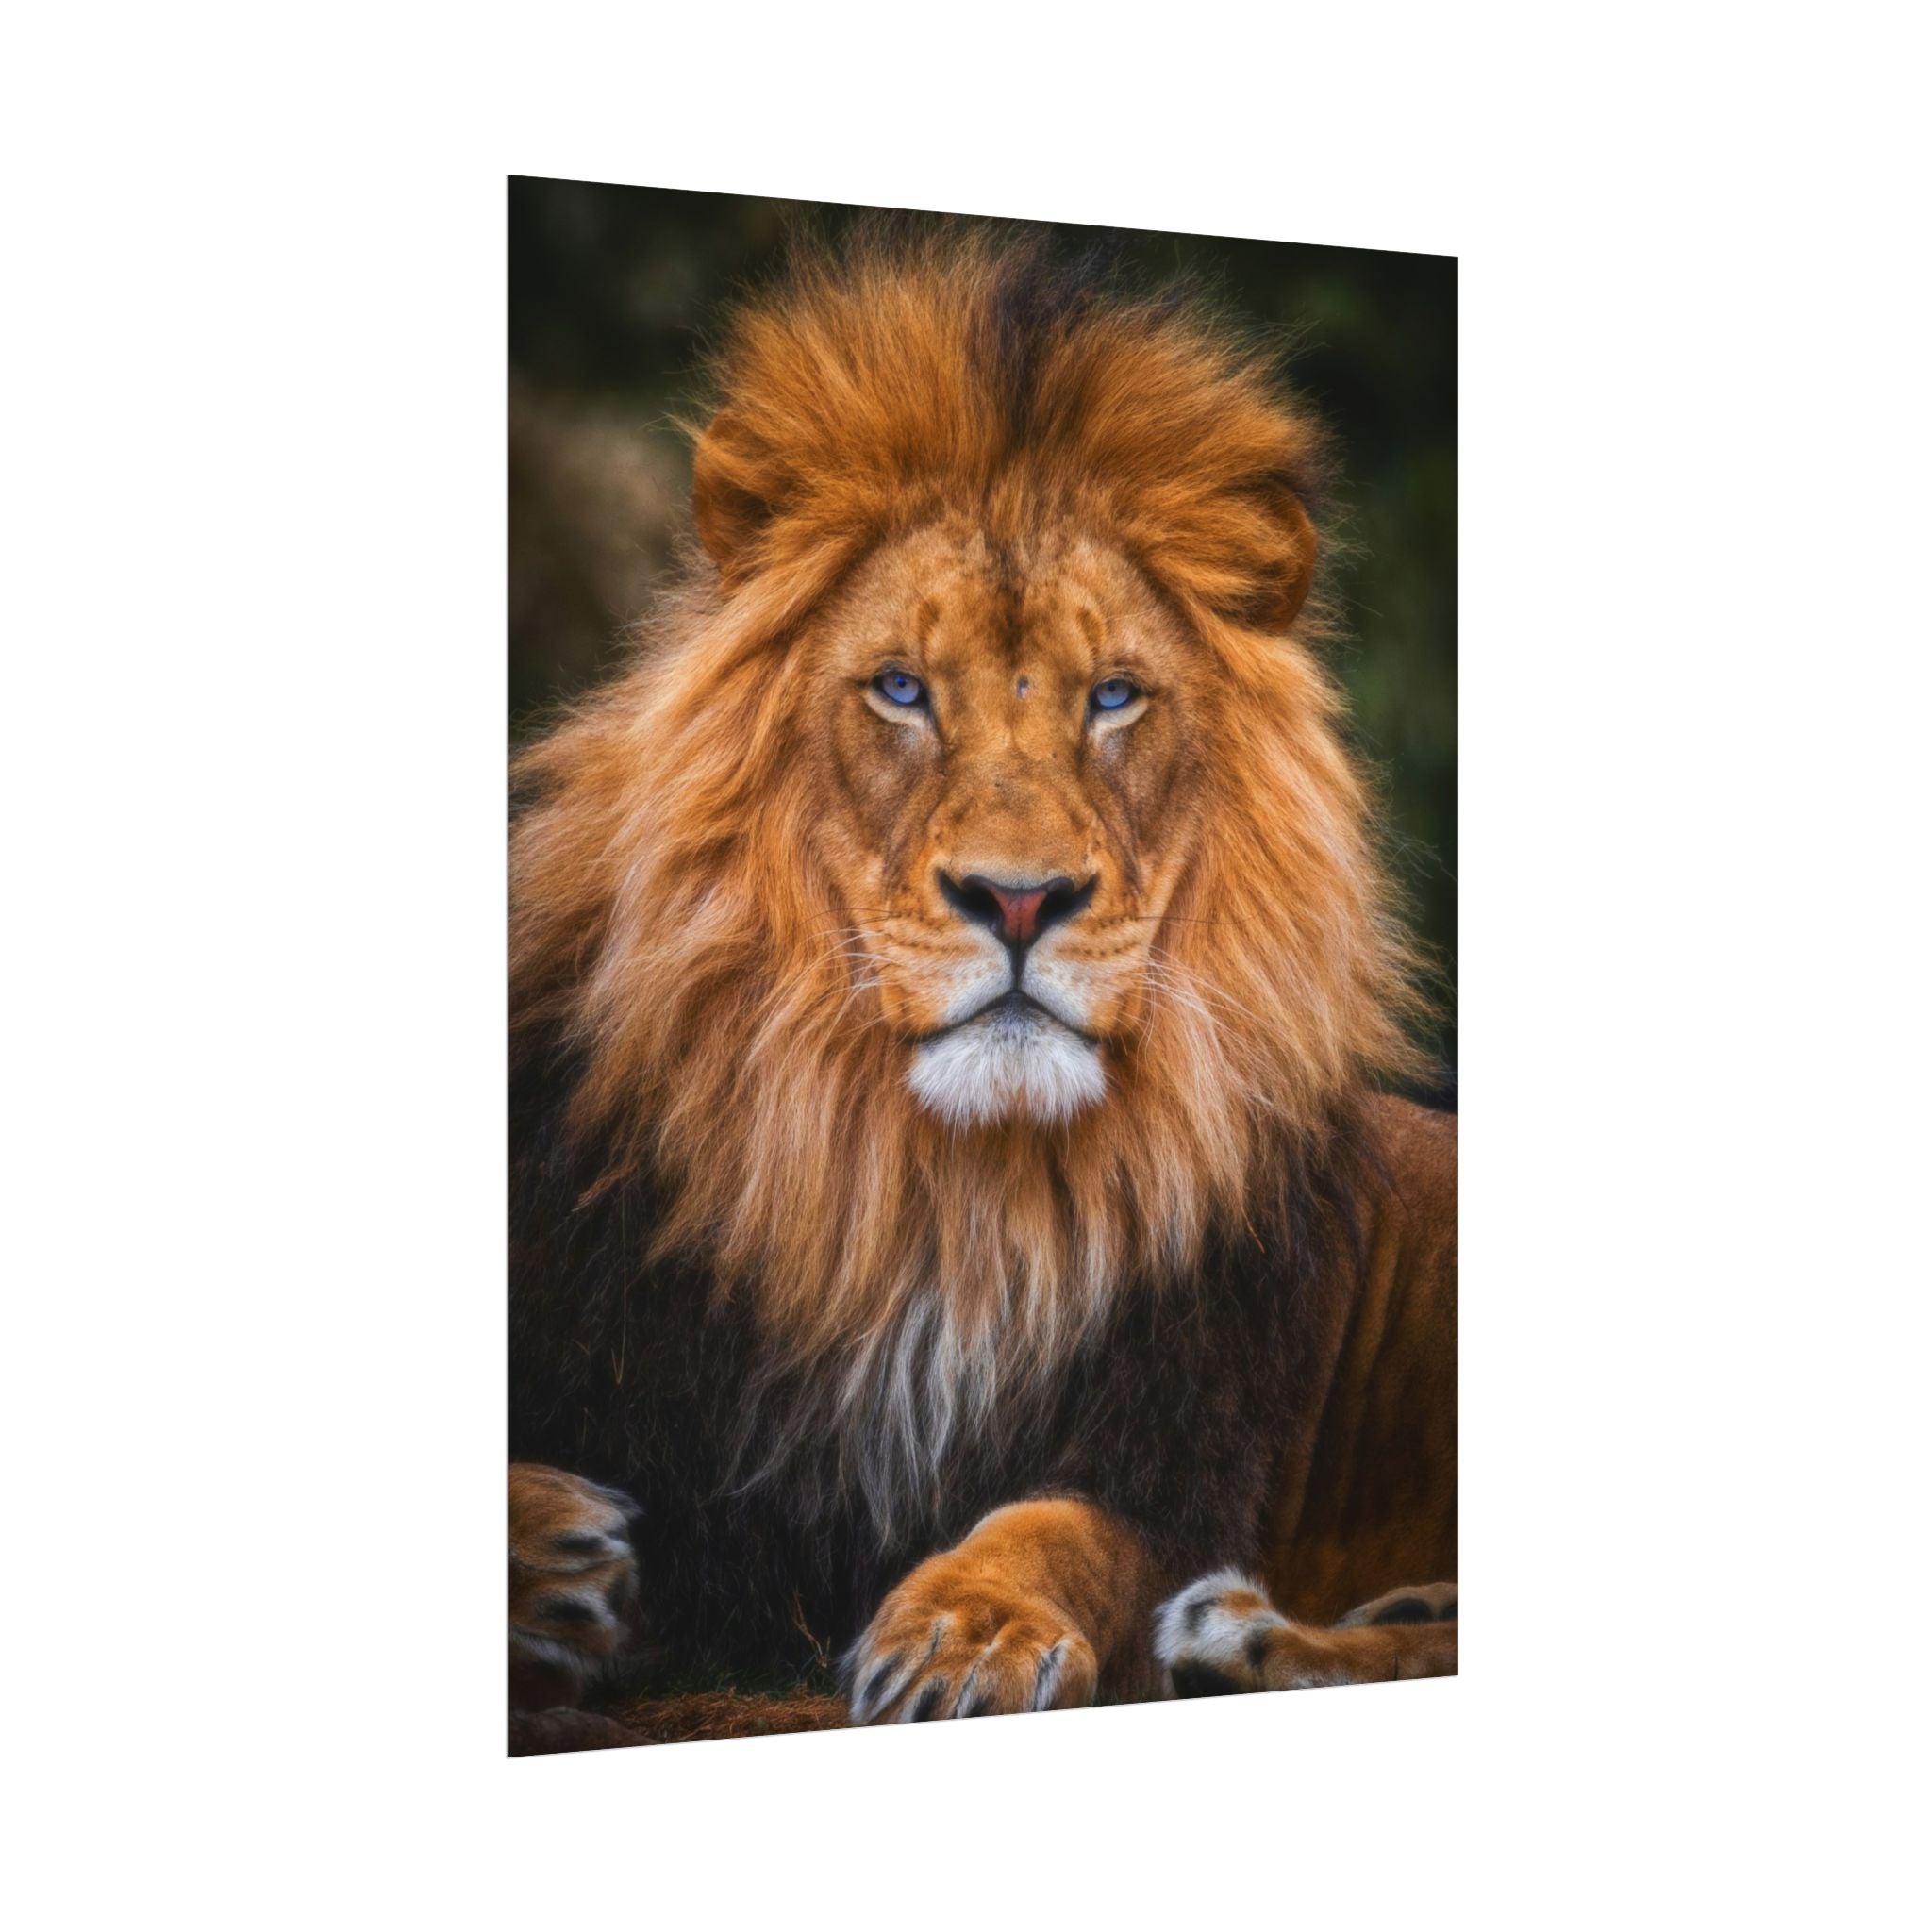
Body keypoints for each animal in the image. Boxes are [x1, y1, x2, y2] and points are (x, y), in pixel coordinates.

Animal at [508, 224, 1456, 1738]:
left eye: (1114, 696)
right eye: (900, 688)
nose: (1019, 899)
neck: (937, 1197)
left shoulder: (1181, 1460)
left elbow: (1062, 1529)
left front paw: (967, 1627)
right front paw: (555, 1557)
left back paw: (1245, 1634)